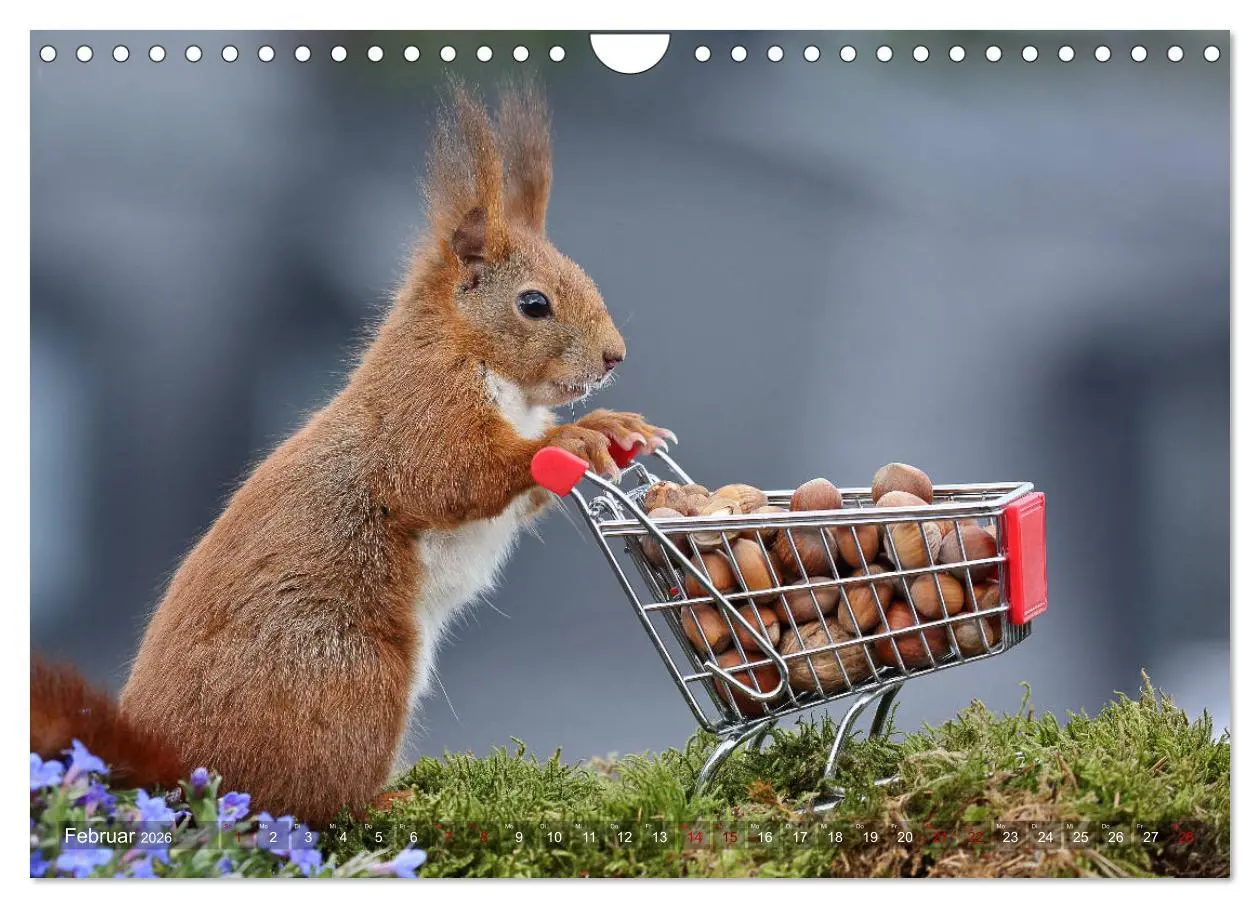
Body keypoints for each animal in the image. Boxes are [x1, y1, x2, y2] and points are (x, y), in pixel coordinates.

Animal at [31, 81, 673, 827]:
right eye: (533, 304)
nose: (615, 356)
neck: (489, 368)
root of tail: (174, 767)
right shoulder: (422, 412)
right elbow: (453, 474)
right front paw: (575, 437)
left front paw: (615, 427)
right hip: (348, 678)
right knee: (310, 802)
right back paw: (387, 799)